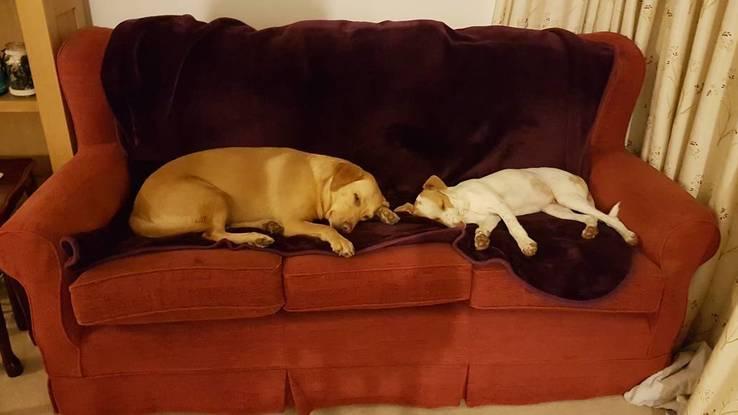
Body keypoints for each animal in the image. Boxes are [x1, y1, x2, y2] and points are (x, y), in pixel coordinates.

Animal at [394, 167, 636, 255]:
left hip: (568, 198)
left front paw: (525, 245)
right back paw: (590, 230)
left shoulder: (501, 208)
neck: (466, 204)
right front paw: (481, 239)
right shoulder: (492, 217)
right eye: (435, 219)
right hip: (555, 208)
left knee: (606, 217)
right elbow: (482, 229)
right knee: (590, 217)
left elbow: (513, 227)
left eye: (443, 204)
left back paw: (628, 235)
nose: (456, 226)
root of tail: (578, 177)